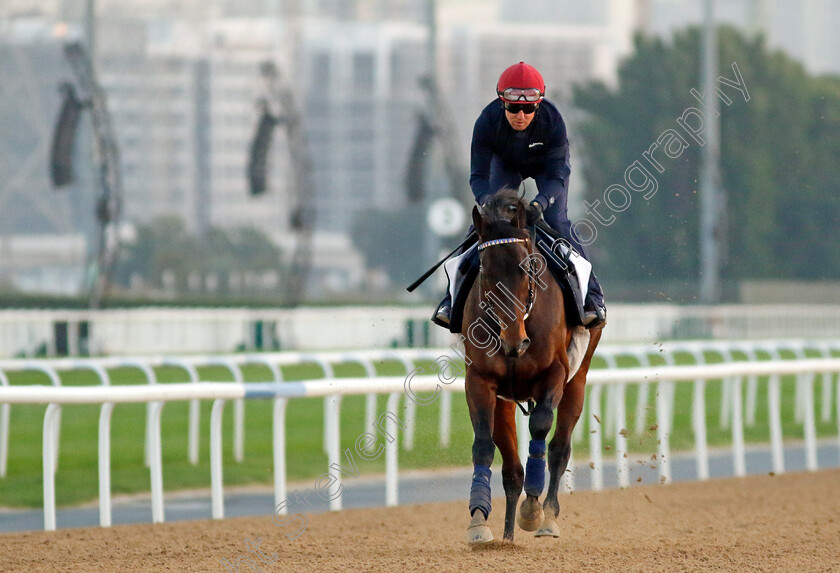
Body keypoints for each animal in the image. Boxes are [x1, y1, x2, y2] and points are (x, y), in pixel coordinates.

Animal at [460, 190, 604, 544]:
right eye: (485, 271)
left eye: (527, 269)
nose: (515, 341)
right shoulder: (480, 379)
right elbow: (483, 445)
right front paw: (478, 520)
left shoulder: (555, 372)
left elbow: (540, 426)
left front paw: (533, 507)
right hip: (505, 400)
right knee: (511, 469)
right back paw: (508, 535)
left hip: (578, 378)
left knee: (560, 447)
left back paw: (547, 516)